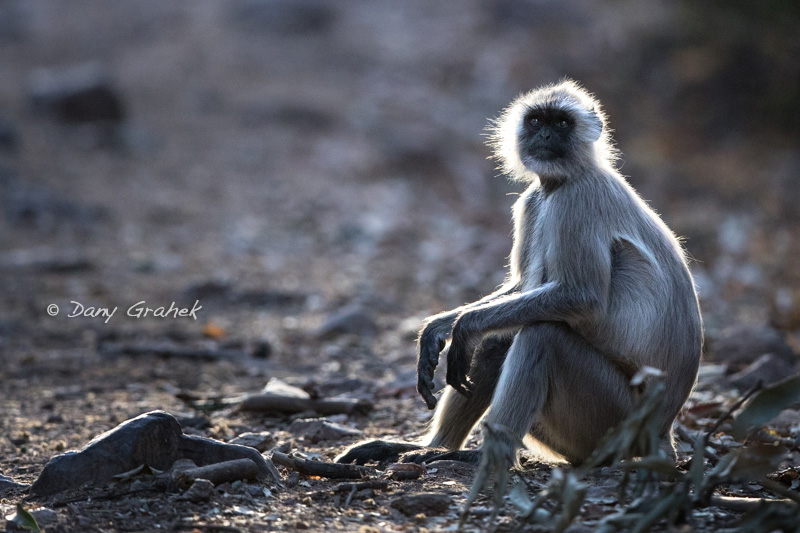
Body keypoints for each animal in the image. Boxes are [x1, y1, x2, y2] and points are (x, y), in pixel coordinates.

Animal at [337, 80, 702, 467]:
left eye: (561, 123)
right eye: (537, 120)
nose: (544, 134)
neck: (562, 181)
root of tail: (663, 434)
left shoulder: (577, 199)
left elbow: (580, 297)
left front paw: (461, 326)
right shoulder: (532, 201)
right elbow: (522, 288)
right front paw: (437, 329)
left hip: (615, 422)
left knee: (542, 336)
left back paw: (485, 455)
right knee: (498, 339)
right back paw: (432, 447)